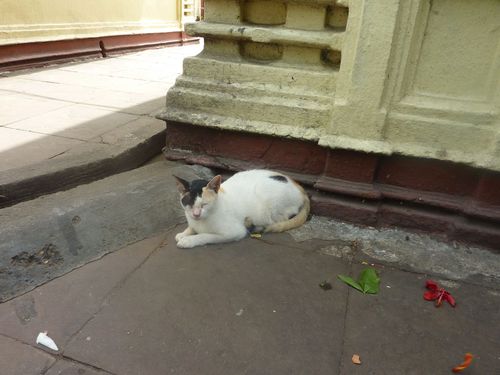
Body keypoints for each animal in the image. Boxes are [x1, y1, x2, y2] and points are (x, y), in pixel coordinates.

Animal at [174, 169, 310, 248]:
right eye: (189, 204)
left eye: (204, 204)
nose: (196, 214)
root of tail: (300, 188)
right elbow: (192, 227)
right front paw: (184, 233)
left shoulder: (234, 232)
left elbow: (206, 235)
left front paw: (189, 240)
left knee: (278, 220)